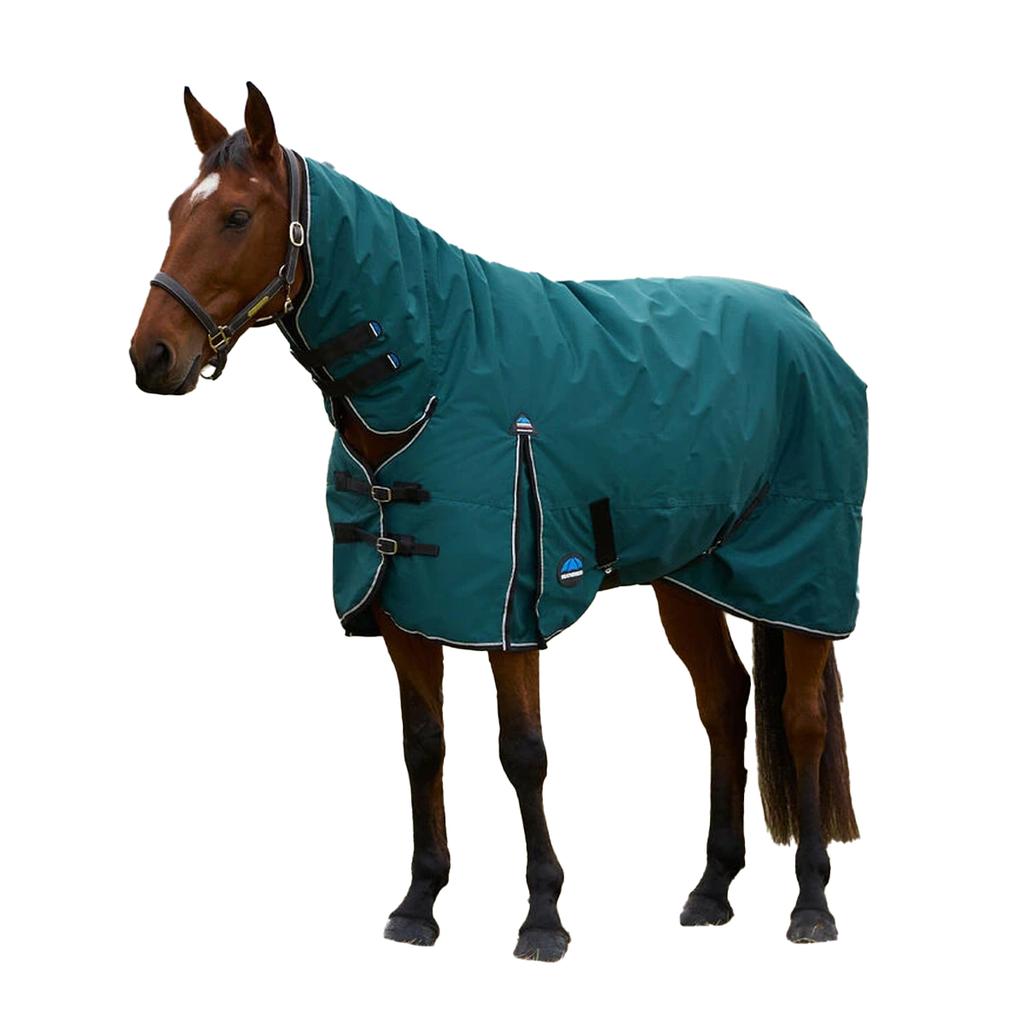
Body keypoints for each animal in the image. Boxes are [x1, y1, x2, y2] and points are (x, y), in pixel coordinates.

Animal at [130, 83, 863, 960]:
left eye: (236, 216)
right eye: (176, 210)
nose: (150, 357)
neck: (434, 375)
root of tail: (802, 320)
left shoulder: (512, 608)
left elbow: (523, 753)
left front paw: (543, 915)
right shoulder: (406, 606)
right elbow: (423, 747)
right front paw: (419, 902)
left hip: (800, 576)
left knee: (802, 720)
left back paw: (812, 904)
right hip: (689, 576)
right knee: (725, 703)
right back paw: (712, 889)